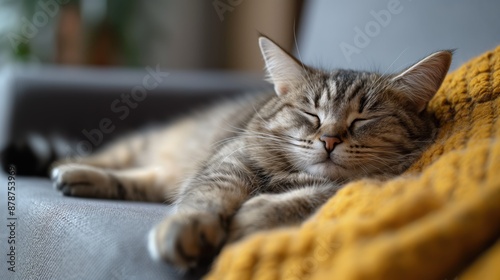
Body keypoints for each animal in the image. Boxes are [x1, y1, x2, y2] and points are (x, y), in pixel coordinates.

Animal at [48, 36, 452, 268]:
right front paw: (189, 227)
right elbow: (207, 195)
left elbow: (304, 200)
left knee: (144, 181)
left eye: (363, 118)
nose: (330, 139)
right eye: (311, 114)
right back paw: (72, 168)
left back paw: (80, 179)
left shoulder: (366, 183)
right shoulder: (231, 161)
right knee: (116, 160)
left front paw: (252, 217)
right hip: (152, 146)